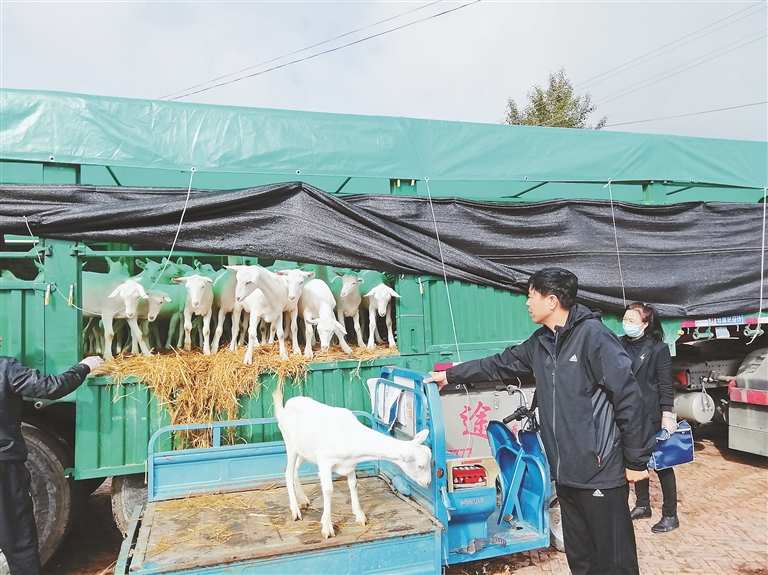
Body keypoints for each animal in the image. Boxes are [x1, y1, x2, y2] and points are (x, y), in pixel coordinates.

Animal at [272, 388, 432, 540]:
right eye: (420, 465)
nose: (428, 483)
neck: (351, 435)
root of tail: (286, 407)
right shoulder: (325, 461)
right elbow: (328, 490)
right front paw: (327, 527)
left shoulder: (349, 463)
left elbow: (353, 485)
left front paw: (360, 516)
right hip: (290, 445)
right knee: (288, 473)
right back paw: (295, 510)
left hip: (304, 451)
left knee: (295, 470)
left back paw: (303, 499)